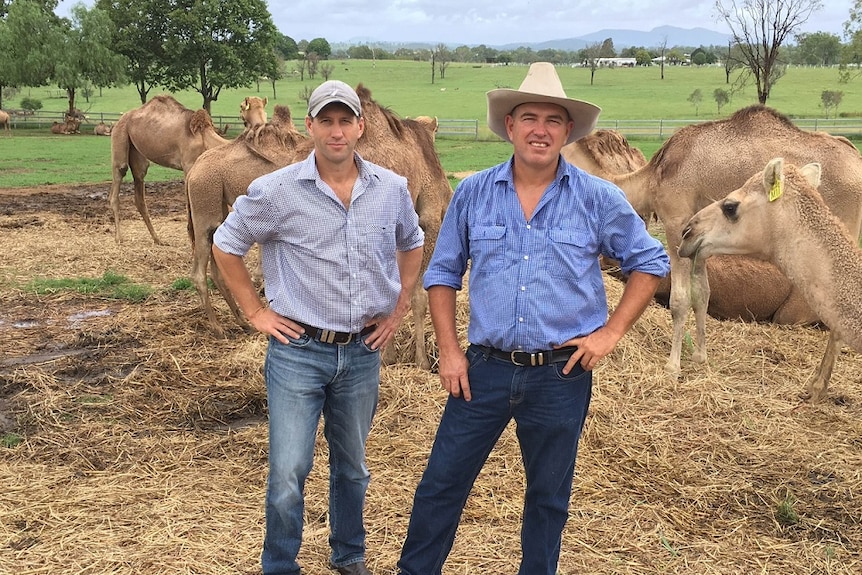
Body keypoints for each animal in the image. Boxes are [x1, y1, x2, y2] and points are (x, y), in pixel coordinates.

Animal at [186, 87, 456, 372]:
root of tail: (194, 169)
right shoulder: (429, 218)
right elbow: (417, 295)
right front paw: (421, 361)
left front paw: (388, 354)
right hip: (207, 210)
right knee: (202, 267)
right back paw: (219, 327)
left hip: (216, 211)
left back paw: (239, 322)